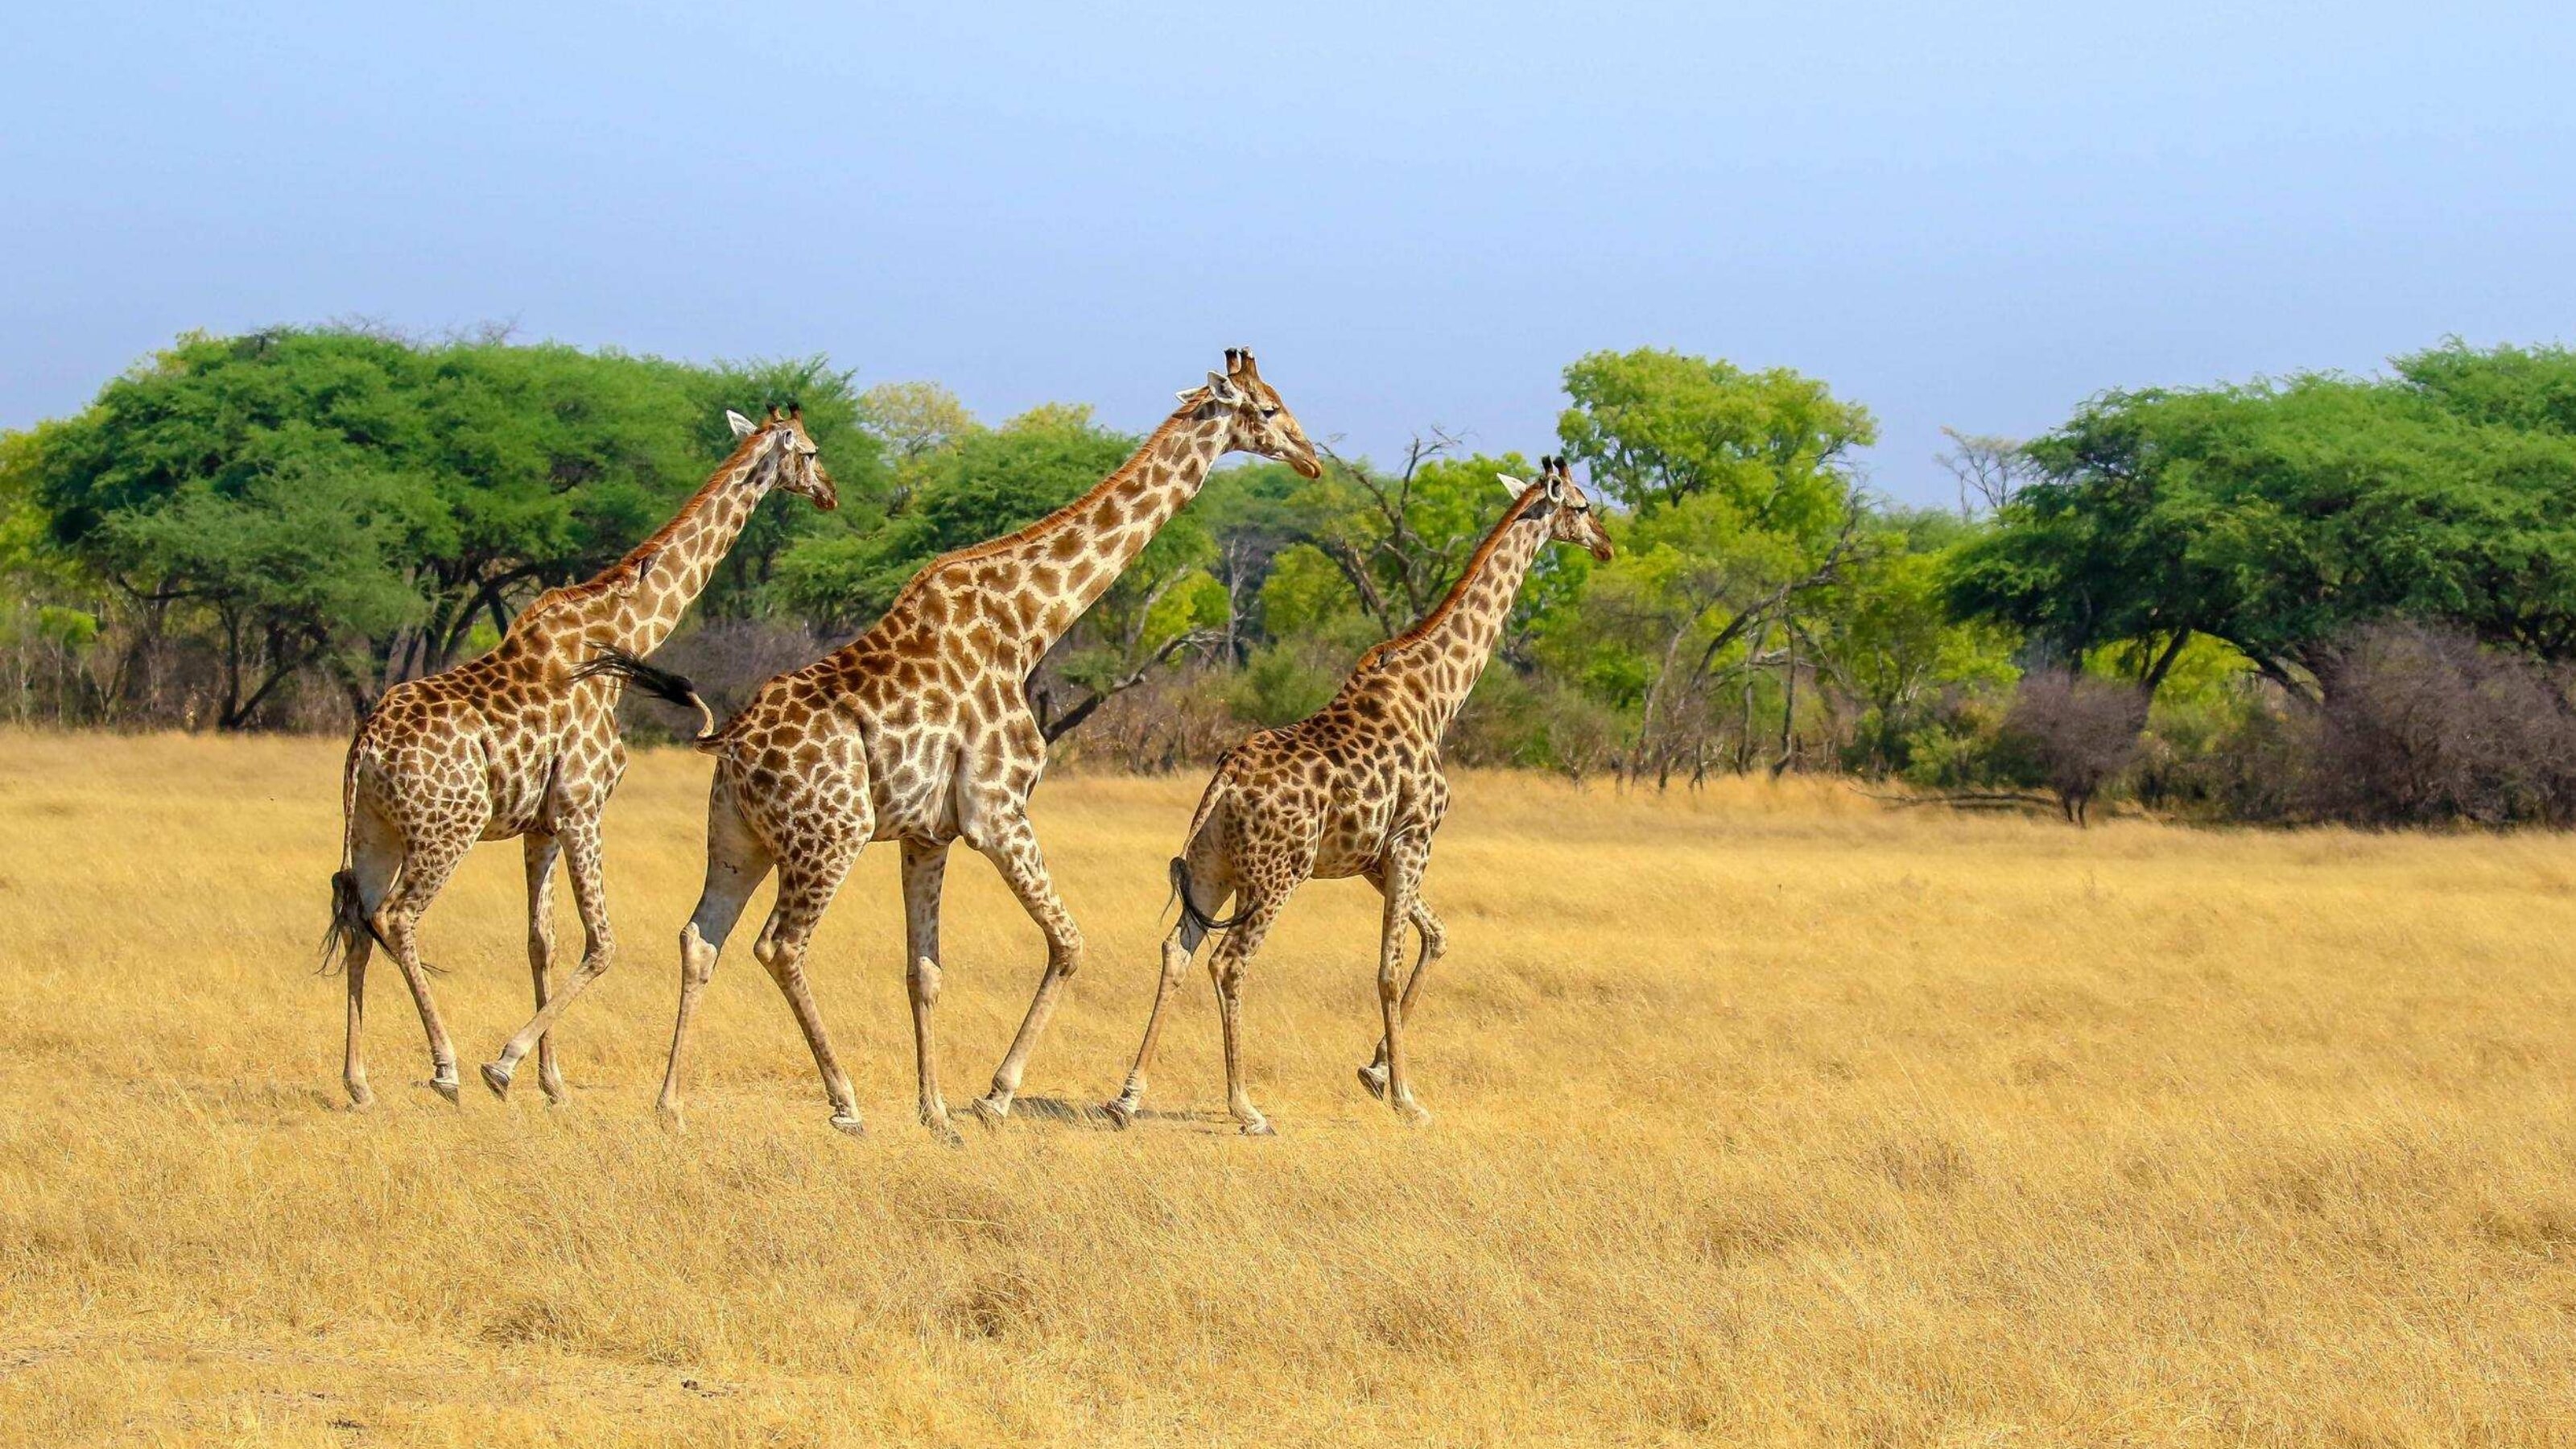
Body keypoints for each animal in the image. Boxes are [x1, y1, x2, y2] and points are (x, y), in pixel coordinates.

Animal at [320, 408, 837, 1110]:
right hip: (445, 831)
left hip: (376, 831)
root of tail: (365, 744)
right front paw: (504, 1064)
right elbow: (602, 943)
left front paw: (552, 1081)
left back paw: (359, 1082)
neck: (619, 636)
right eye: (809, 452)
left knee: (358, 919)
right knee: (397, 917)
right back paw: (445, 1066)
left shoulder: (540, 824)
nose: (830, 494)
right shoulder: (583, 805)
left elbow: (542, 939)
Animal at [631, 349, 1319, 1139]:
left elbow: (924, 970)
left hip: (737, 840)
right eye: (1267, 409)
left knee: (700, 937)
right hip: (829, 837)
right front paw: (995, 1096)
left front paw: (937, 1113)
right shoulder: (998, 811)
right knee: (778, 945)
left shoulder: (928, 834)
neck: (1027, 623)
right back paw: (845, 1102)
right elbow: (1069, 943)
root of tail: (732, 743)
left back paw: (670, 1104)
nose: (1311, 459)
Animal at [1103, 455, 1614, 1134]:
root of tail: (1224, 782)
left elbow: (1436, 937)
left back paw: (1127, 1096)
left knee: (1177, 952)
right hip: (1277, 876)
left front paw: (1373, 1071)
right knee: (1228, 962)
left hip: (1214, 872)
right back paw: (1247, 1107)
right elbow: (1389, 969)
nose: (1606, 544)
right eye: (1581, 506)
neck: (1438, 696)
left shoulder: (1373, 857)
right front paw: (1406, 1098)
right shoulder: (1413, 840)